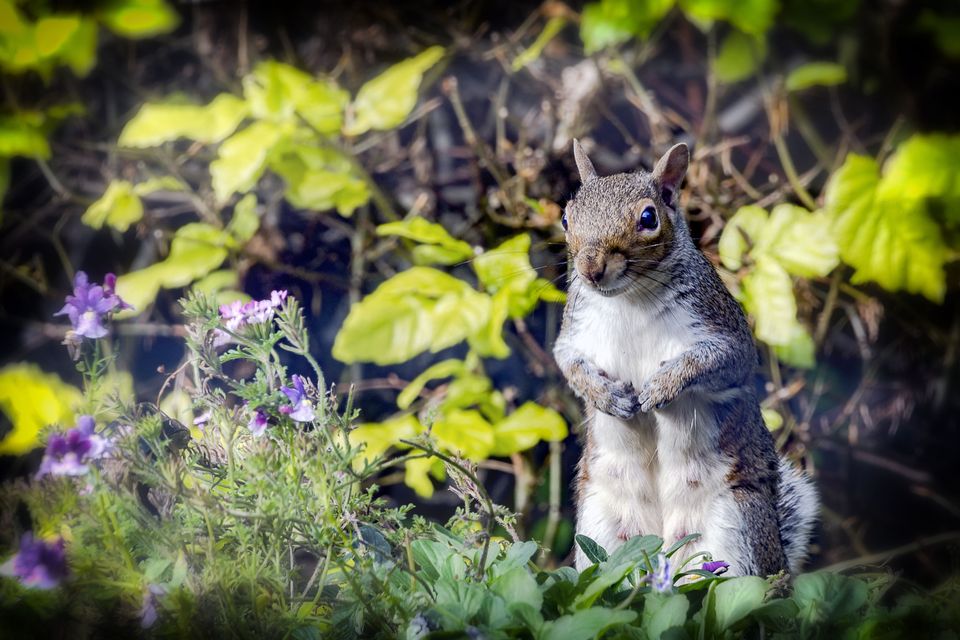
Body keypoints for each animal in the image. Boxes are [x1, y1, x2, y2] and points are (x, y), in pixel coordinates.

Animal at [556, 140, 816, 576]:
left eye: (648, 217)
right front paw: (606, 396)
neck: (630, 298)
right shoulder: (574, 334)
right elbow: (570, 365)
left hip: (734, 525)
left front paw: (662, 387)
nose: (591, 269)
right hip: (601, 529)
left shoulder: (723, 330)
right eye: (566, 217)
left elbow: (715, 361)